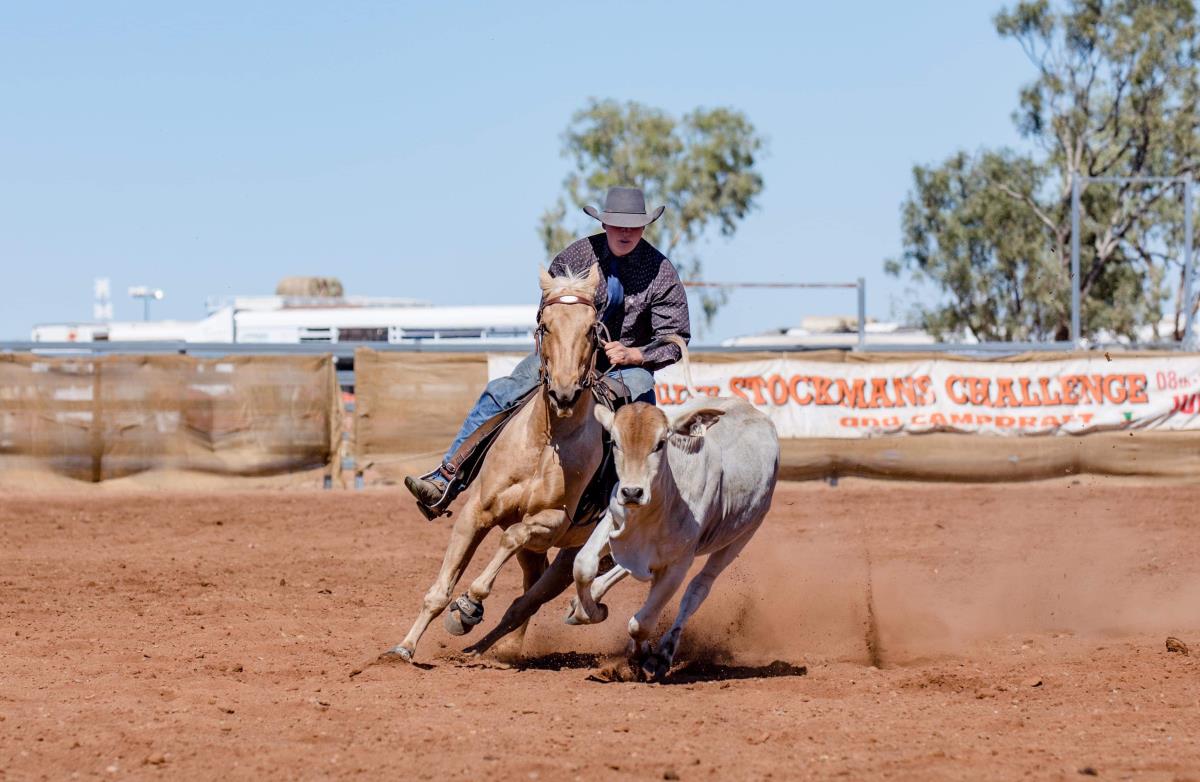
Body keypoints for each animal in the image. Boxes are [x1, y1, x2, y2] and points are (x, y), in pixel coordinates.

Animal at [565, 386, 780, 681]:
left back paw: (665, 651)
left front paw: (645, 657)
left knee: (698, 589)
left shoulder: (679, 563)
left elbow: (641, 624)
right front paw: (588, 612)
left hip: (741, 537)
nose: (632, 492)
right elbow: (583, 565)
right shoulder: (614, 521)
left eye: (659, 444)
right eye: (616, 443)